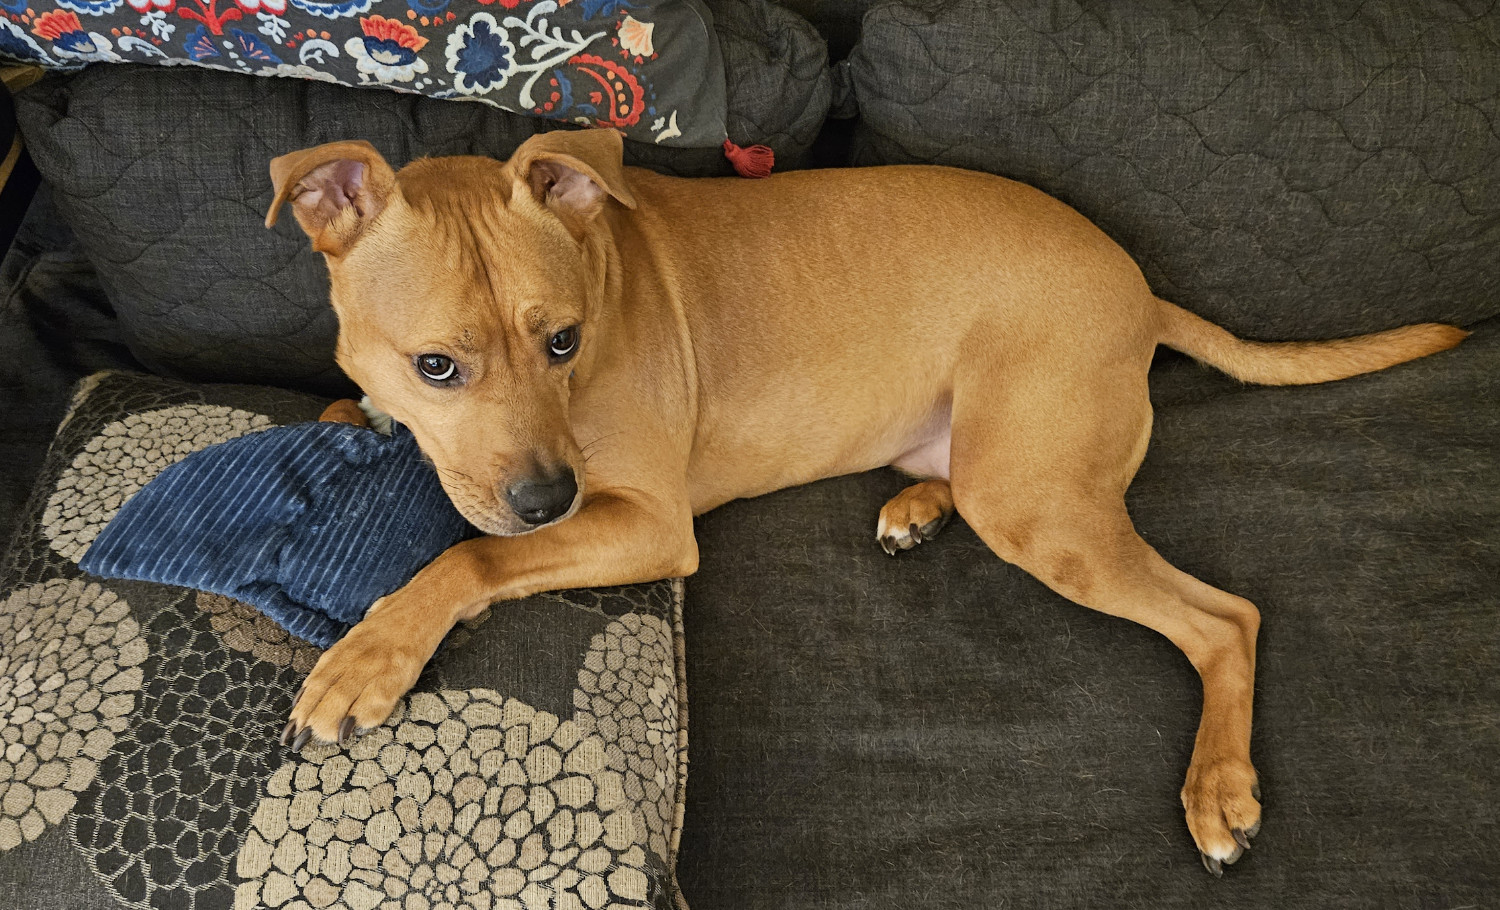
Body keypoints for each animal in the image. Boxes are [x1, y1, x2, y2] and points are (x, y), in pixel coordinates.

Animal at [264, 129, 1470, 875]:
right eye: (436, 366)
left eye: (563, 341)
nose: (544, 498)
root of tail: (1140, 286)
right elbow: (358, 416)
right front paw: (353, 420)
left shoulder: (645, 522)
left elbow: (469, 556)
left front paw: (368, 658)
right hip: (996, 465)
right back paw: (918, 507)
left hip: (1038, 505)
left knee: (1226, 619)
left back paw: (1219, 789)